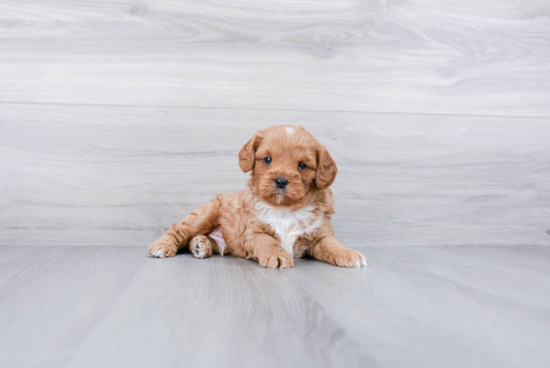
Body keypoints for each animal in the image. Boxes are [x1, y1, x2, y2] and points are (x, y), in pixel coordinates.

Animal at [149, 125, 368, 268]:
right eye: (267, 160)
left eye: (302, 165)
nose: (281, 181)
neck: (285, 208)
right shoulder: (253, 231)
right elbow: (267, 242)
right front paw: (277, 255)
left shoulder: (321, 233)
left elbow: (332, 245)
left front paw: (348, 253)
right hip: (206, 213)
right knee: (180, 230)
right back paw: (163, 246)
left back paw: (201, 245)